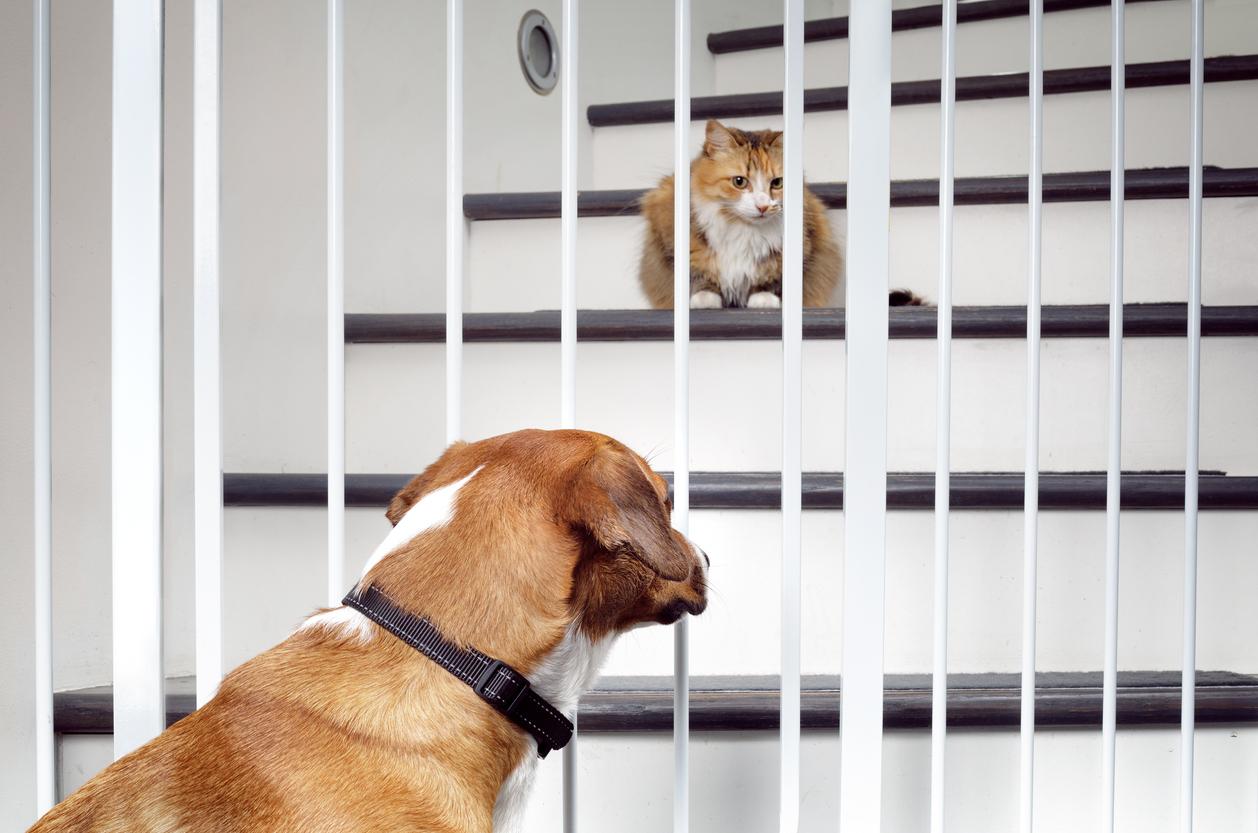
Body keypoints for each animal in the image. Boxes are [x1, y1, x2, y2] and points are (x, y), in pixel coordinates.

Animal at [639, 120, 925, 309]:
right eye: (740, 182)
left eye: (777, 183)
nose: (764, 206)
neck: (743, 230)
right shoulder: (675, 242)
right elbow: (700, 277)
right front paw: (704, 298)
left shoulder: (801, 247)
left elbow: (772, 278)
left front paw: (763, 298)